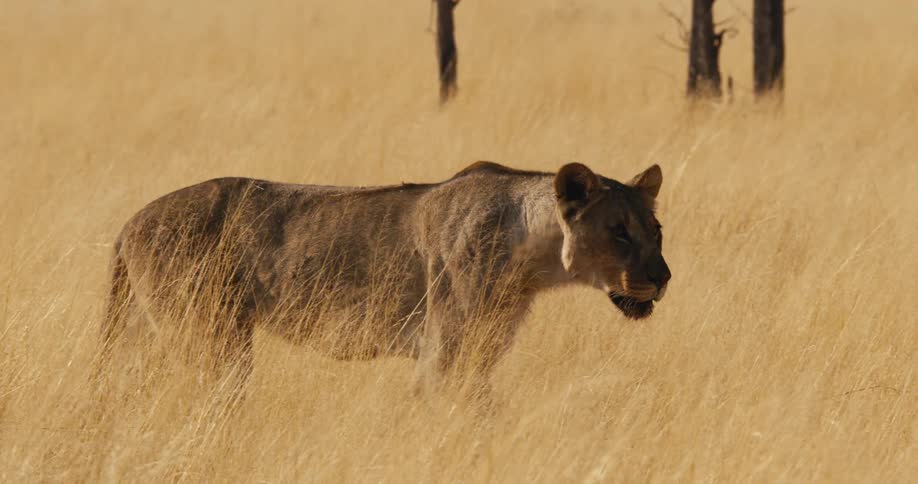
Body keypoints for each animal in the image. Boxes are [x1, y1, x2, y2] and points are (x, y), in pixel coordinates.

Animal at [98, 162, 670, 399]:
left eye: (656, 230)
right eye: (619, 231)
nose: (663, 278)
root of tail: (130, 222)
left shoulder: (479, 355)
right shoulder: (442, 354)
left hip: (148, 330)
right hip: (209, 335)